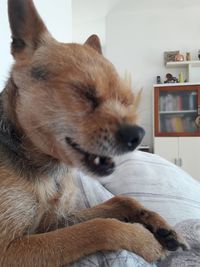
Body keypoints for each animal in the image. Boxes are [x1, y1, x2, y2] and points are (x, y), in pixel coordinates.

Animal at [0, 1, 188, 266]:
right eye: (84, 93)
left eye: (125, 100)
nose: (138, 134)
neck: (49, 172)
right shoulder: (8, 249)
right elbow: (100, 226)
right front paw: (145, 239)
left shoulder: (57, 220)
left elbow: (120, 201)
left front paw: (161, 226)